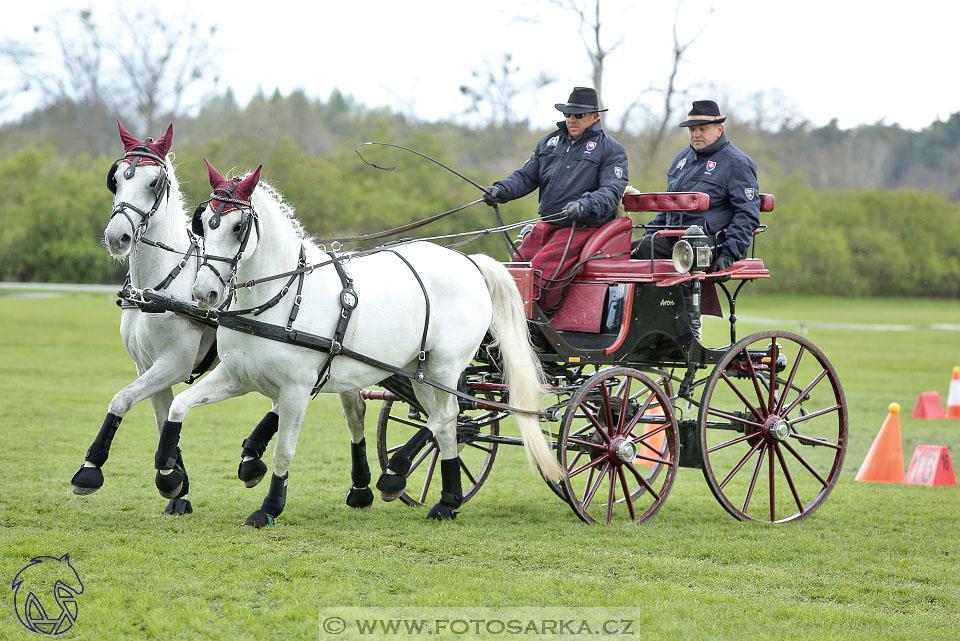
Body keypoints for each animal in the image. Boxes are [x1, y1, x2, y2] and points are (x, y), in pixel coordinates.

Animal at [155, 159, 564, 524]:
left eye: (239, 226)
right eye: (204, 222)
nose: (204, 292)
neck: (280, 299)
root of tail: (470, 262)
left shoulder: (296, 389)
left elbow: (285, 451)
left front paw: (269, 507)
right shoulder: (237, 377)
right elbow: (178, 407)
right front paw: (168, 475)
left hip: (446, 366)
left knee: (448, 415)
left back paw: (397, 472)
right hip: (421, 370)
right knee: (447, 424)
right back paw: (447, 501)